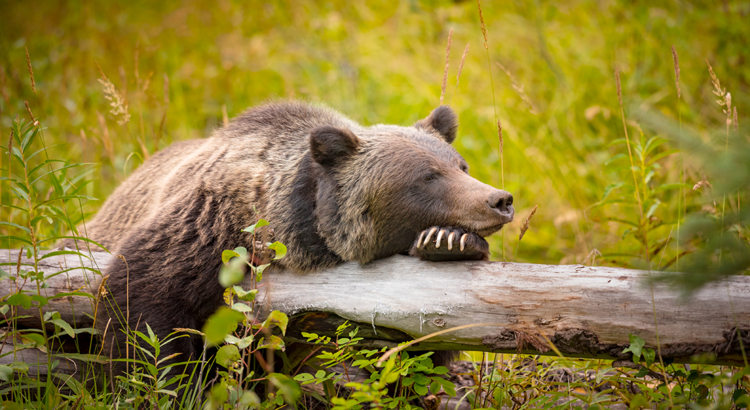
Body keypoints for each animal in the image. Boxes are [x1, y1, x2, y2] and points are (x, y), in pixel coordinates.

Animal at [73, 101, 516, 384]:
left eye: (460, 166)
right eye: (427, 176)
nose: (499, 199)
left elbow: (417, 349)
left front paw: (448, 241)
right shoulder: (209, 226)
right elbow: (143, 300)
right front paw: (163, 381)